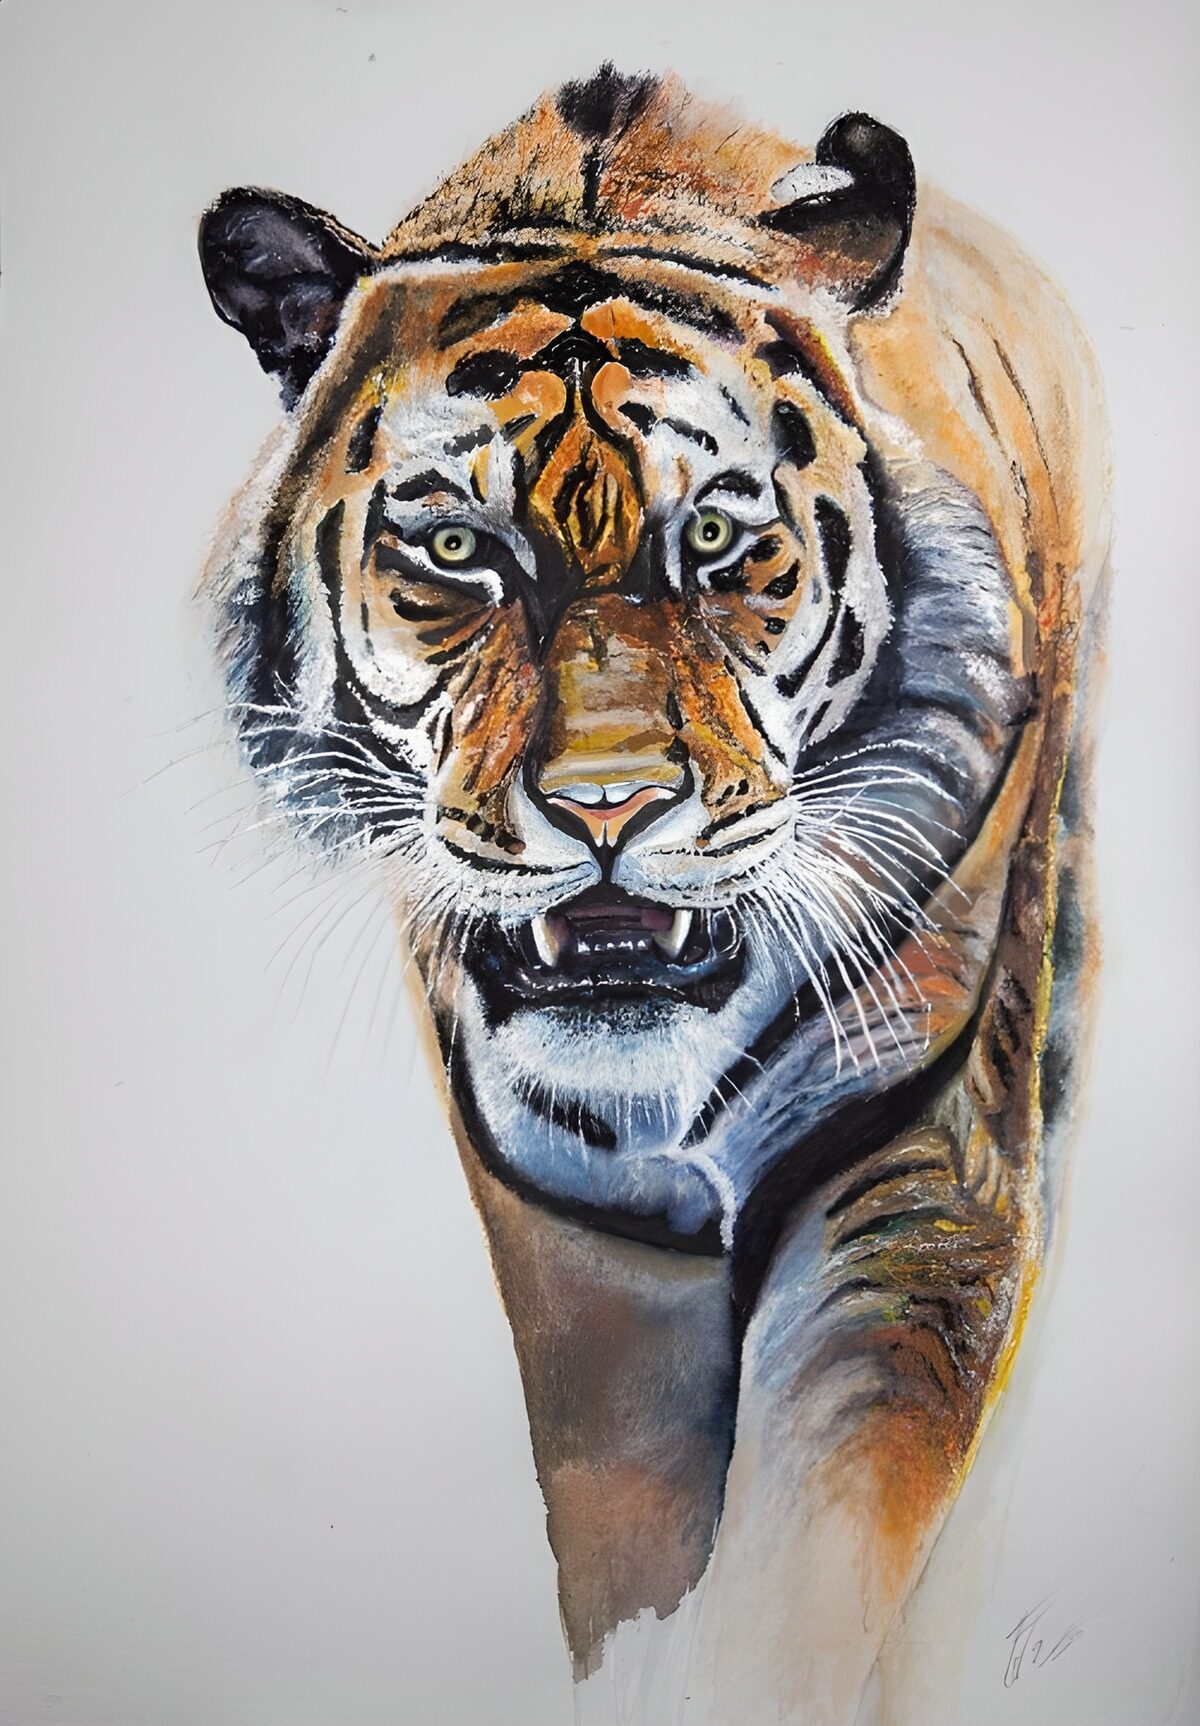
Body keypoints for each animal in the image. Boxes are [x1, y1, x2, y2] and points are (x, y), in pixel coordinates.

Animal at [198, 64, 1109, 1724]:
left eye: (719, 541)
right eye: (456, 547)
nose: (610, 807)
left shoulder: (914, 1157)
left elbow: (815, 1546)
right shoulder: (581, 1226)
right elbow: (624, 1537)